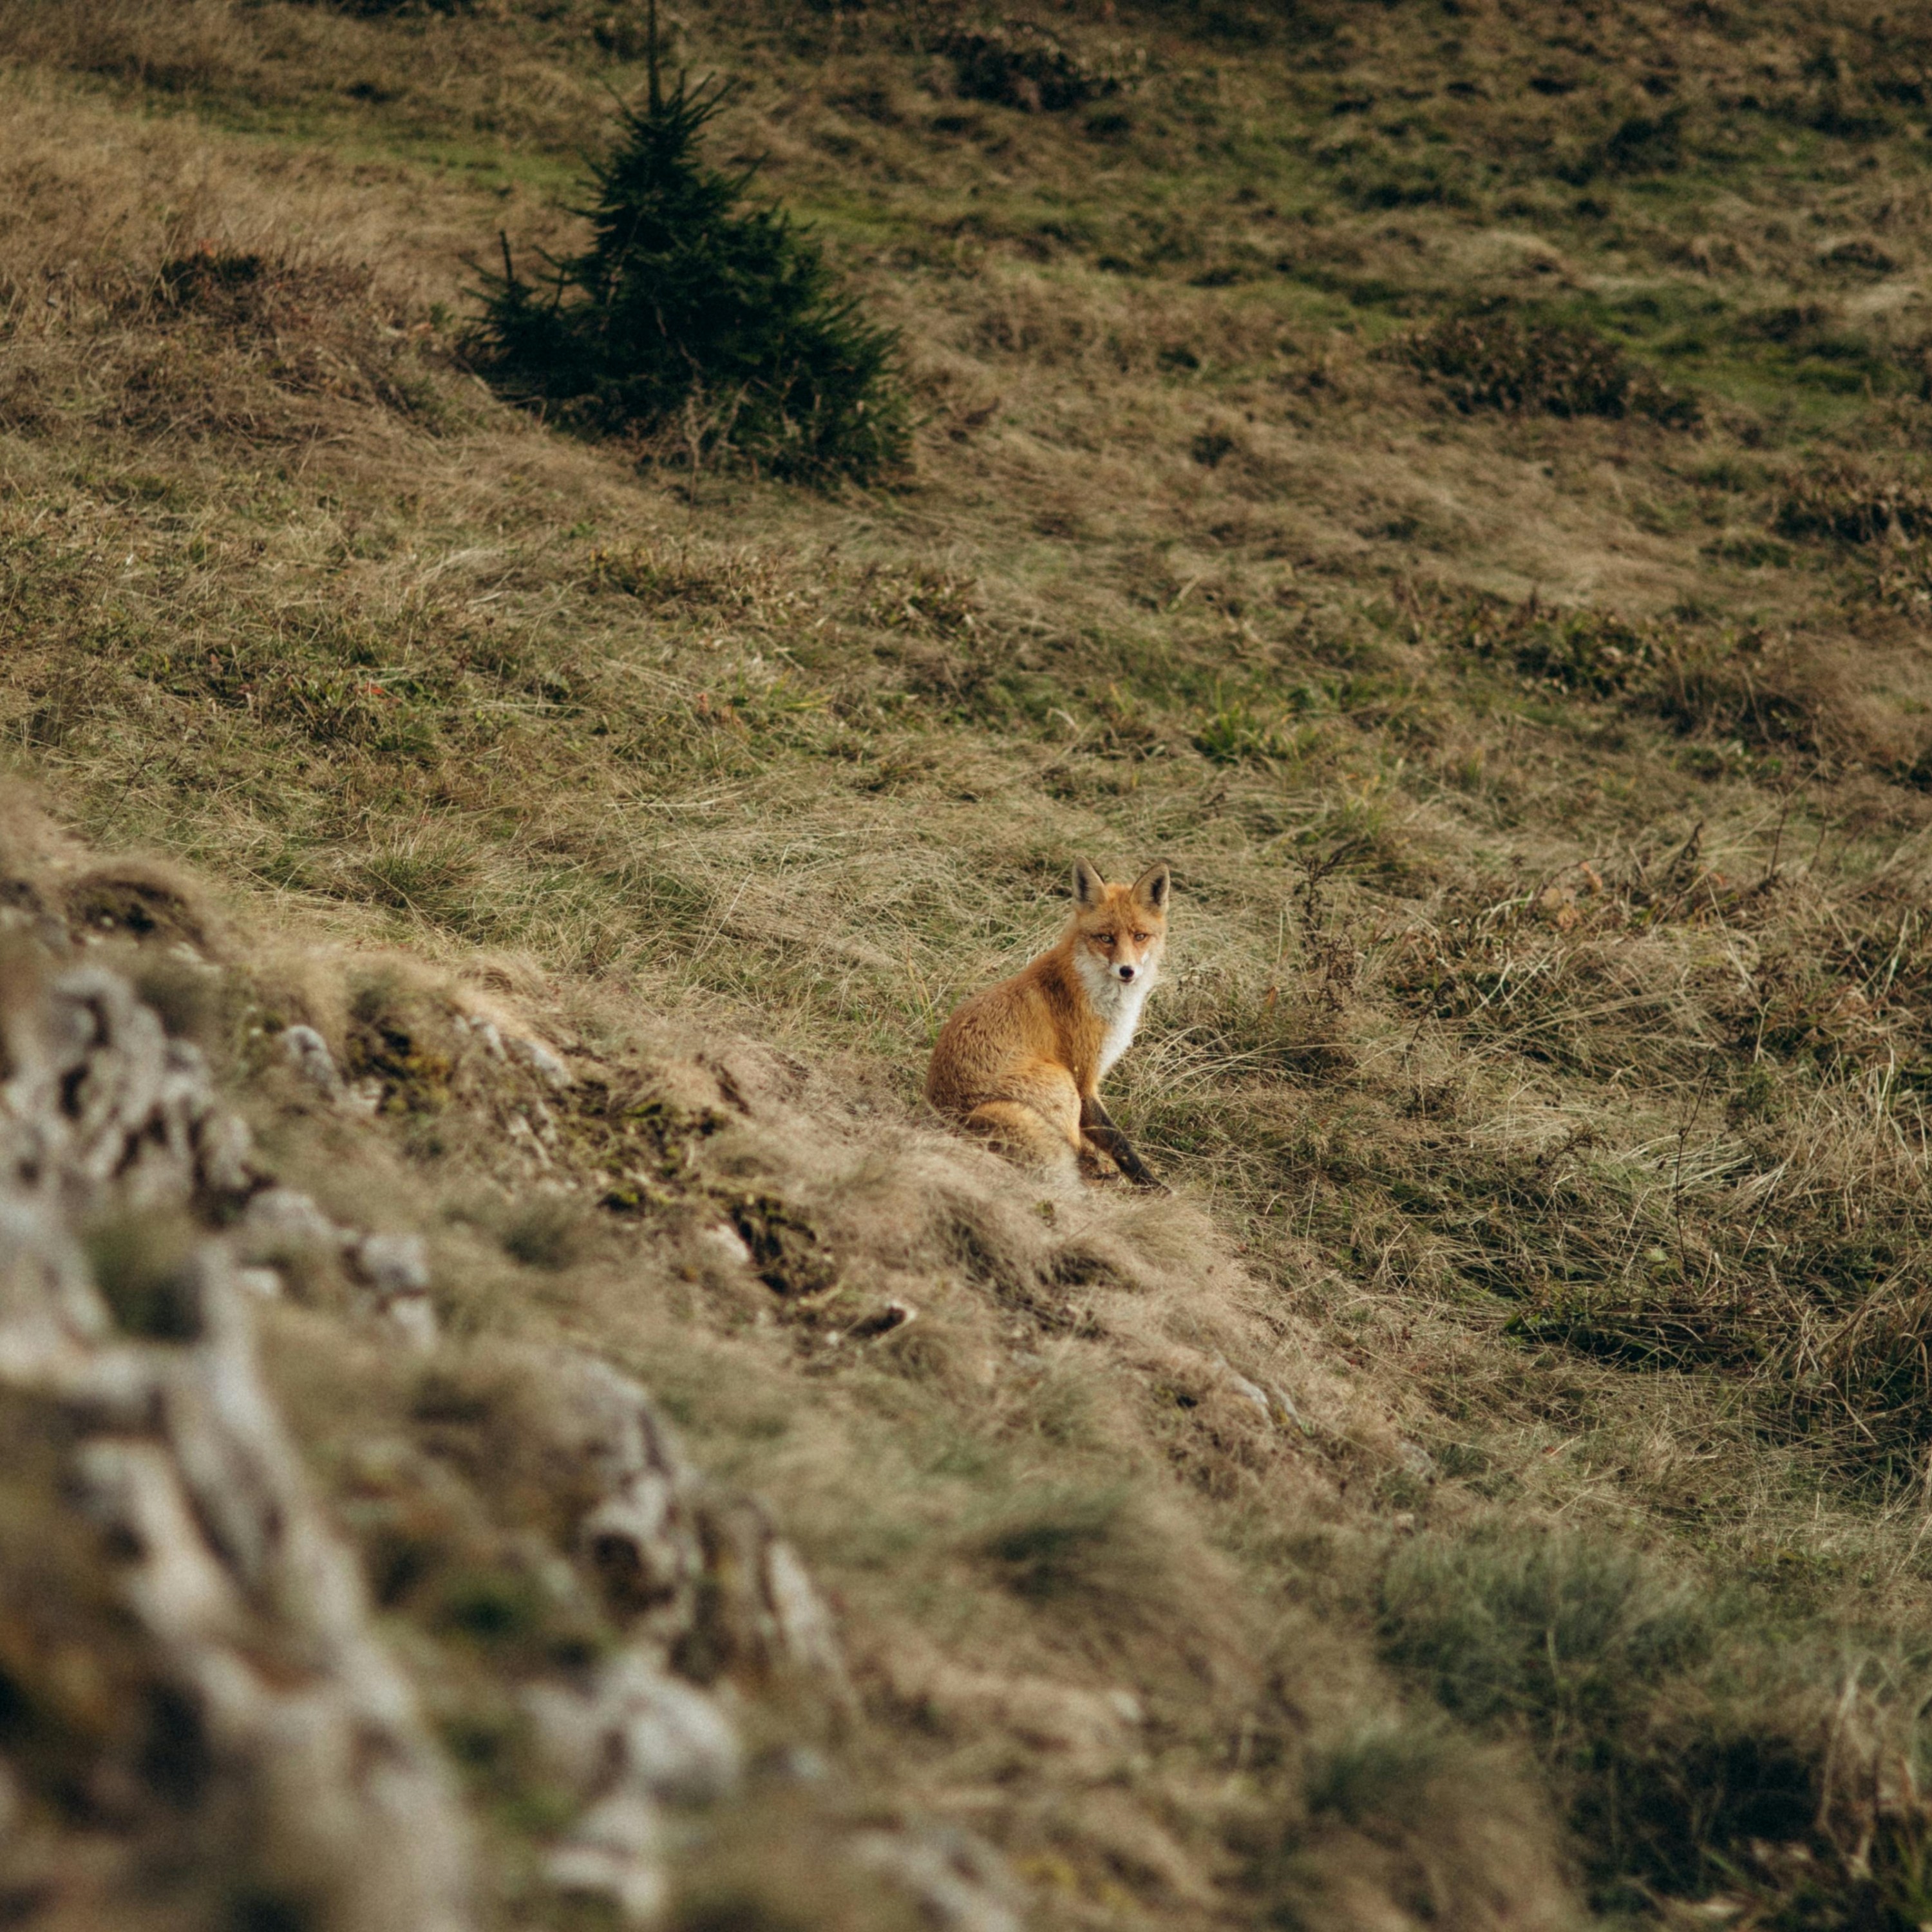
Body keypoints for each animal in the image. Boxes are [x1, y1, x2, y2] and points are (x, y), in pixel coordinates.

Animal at [927, 866, 1167, 1190]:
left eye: (1140, 936)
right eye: (1105, 938)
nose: (1127, 971)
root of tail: (954, 1120)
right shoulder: (1083, 1079)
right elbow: (1118, 1141)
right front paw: (1152, 1184)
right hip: (1060, 1084)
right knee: (1072, 1156)